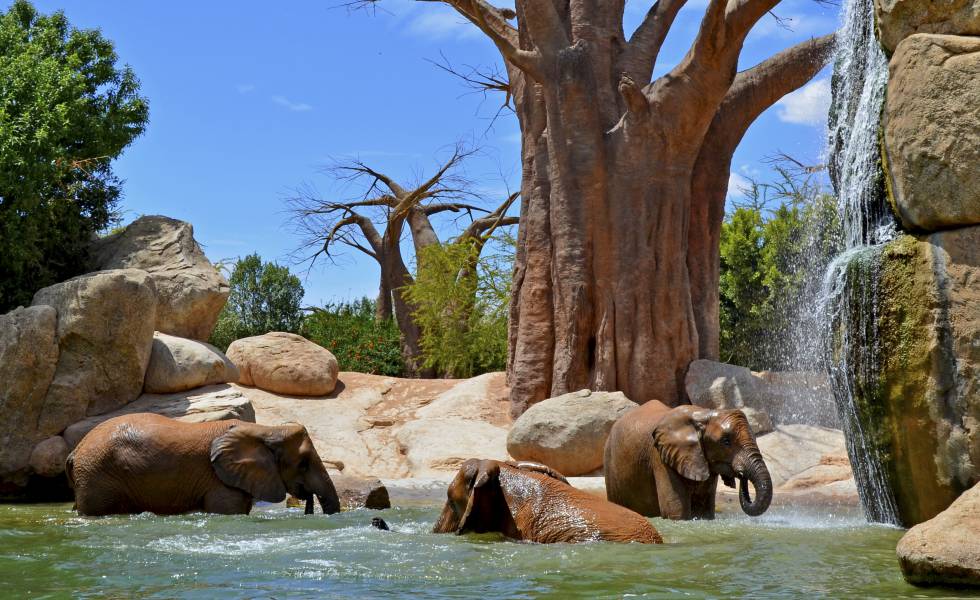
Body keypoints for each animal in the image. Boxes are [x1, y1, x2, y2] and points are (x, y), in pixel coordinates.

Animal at [66, 413, 341, 517]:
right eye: (303, 463)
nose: (308, 503)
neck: (265, 429)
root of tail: (75, 451)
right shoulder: (219, 482)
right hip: (97, 477)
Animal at [604, 401, 772, 520]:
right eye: (725, 442)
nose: (741, 476)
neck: (704, 414)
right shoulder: (661, 459)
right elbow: (675, 512)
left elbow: (704, 512)